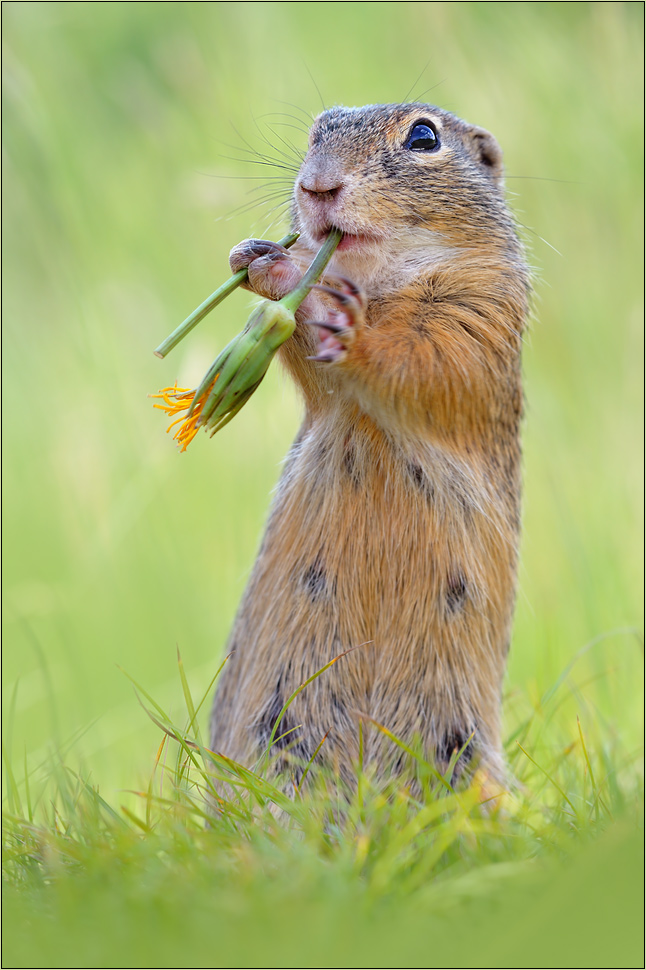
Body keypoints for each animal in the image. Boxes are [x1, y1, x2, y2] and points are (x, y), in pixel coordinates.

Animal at [210, 102, 528, 792]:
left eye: (424, 136)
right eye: (316, 130)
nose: (316, 186)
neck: (381, 285)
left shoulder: (480, 313)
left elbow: (422, 359)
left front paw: (304, 285)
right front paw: (260, 257)